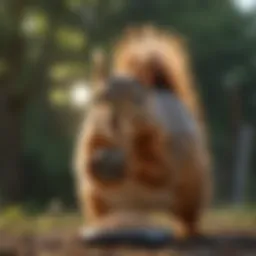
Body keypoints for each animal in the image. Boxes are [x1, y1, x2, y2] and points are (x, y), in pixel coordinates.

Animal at [72, 26, 212, 238]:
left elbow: (159, 170)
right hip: (95, 200)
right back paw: (101, 225)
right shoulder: (94, 135)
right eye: (98, 98)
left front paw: (129, 163)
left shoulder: (162, 142)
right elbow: (85, 161)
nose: (114, 121)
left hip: (190, 193)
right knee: (102, 211)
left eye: (137, 100)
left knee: (187, 217)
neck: (122, 141)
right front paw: (94, 163)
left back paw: (188, 233)